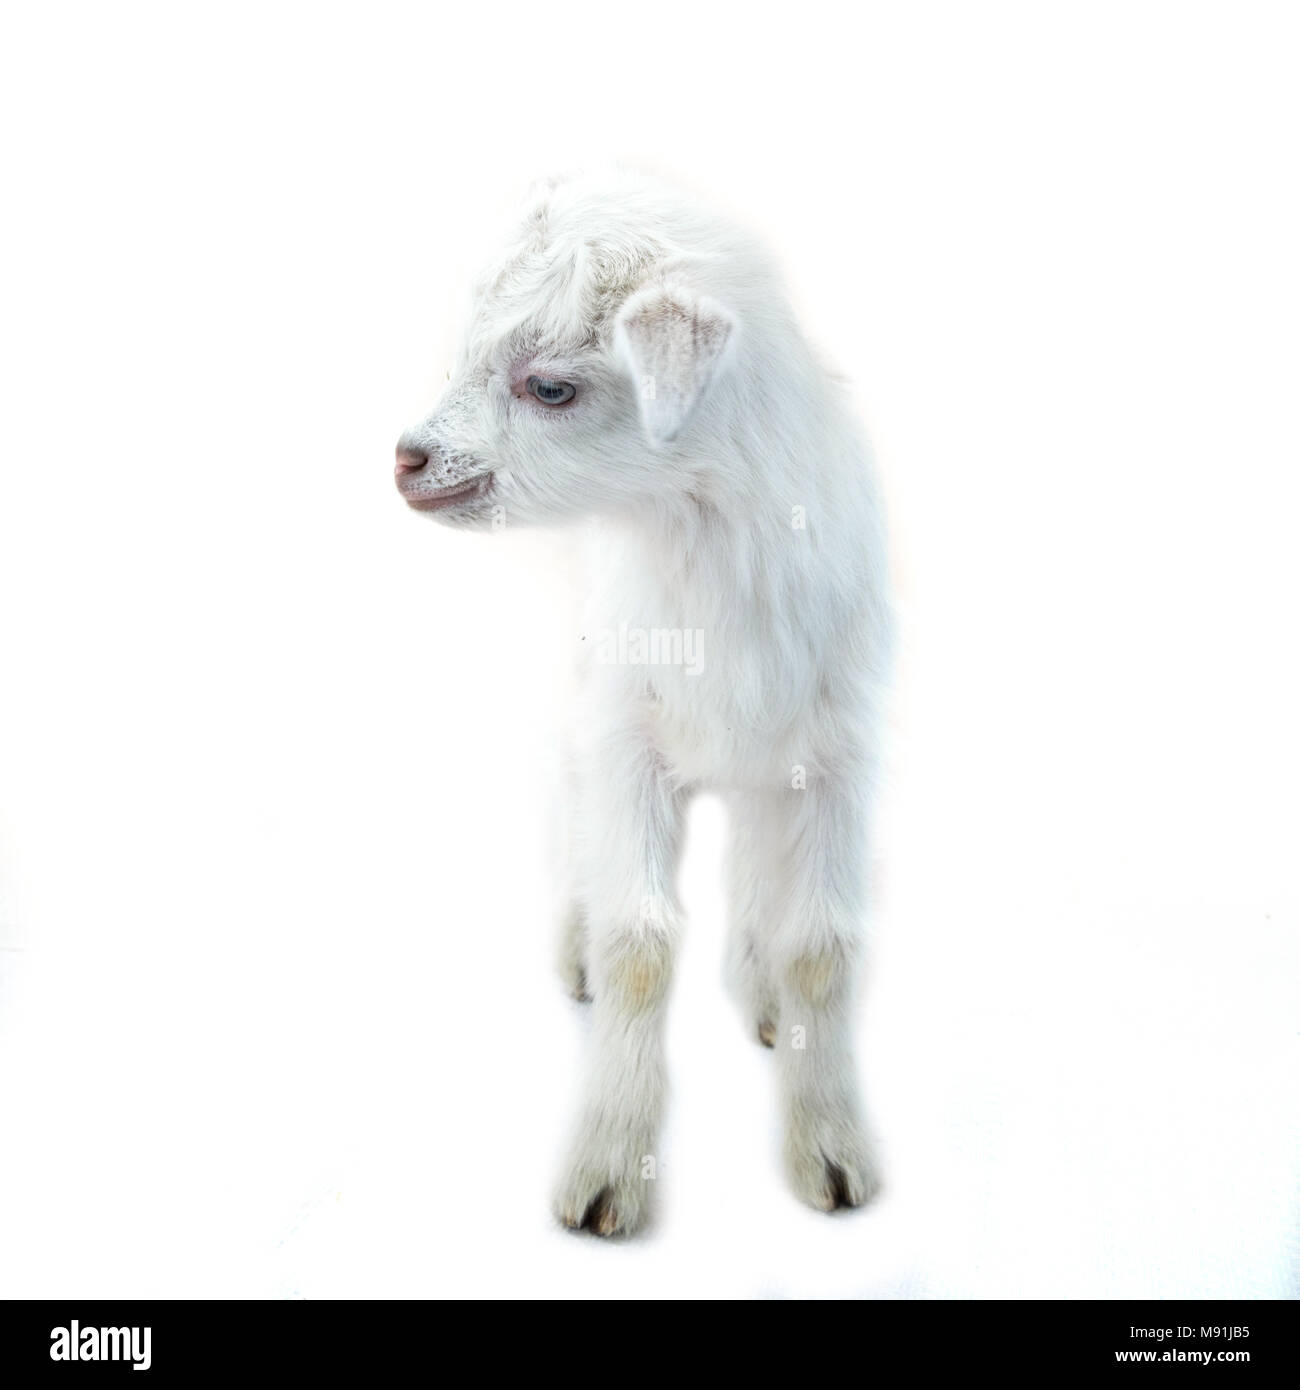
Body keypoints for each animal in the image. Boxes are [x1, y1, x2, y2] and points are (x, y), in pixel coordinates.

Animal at [395, 170, 892, 1236]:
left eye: (550, 385)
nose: (407, 457)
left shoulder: (839, 756)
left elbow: (823, 949)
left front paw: (831, 1155)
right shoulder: (624, 738)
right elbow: (640, 945)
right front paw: (606, 1172)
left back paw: (758, 988)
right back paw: (575, 950)